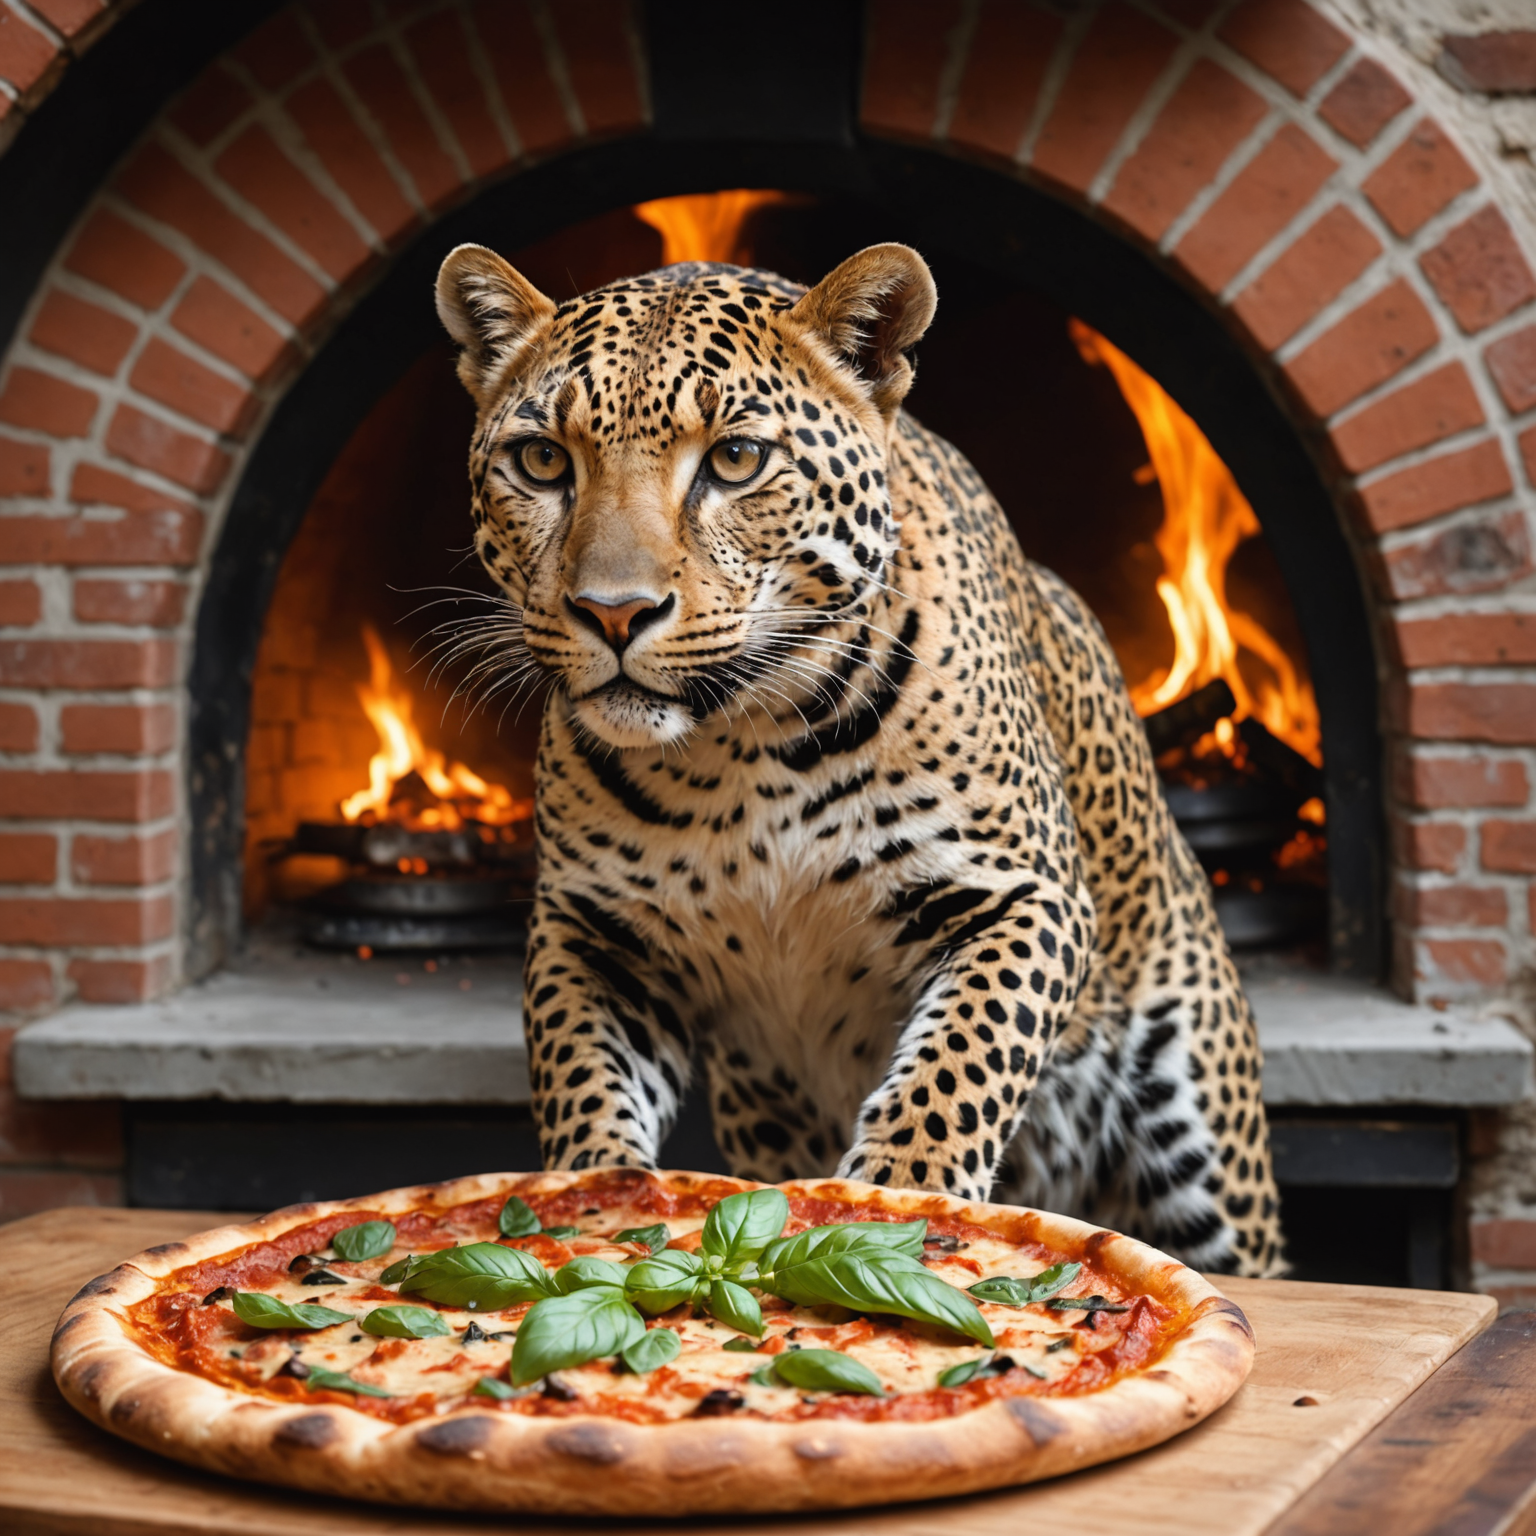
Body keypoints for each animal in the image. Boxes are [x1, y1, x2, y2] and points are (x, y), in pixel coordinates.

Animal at [434, 239, 1285, 1277]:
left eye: (736, 459)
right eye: (542, 460)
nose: (614, 613)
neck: (737, 749)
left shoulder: (1020, 894)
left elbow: (955, 1072)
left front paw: (897, 1208)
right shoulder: (594, 934)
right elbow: (582, 1093)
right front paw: (585, 1209)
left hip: (1204, 1136)